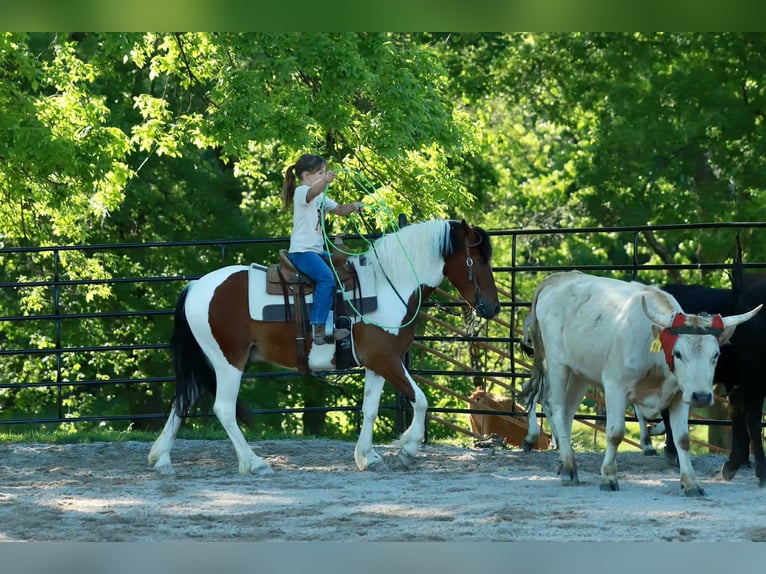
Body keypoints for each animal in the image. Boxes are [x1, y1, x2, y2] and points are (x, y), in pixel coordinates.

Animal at [148, 218, 501, 475]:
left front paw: (368, 457)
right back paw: (255, 464)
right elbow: (422, 401)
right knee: (223, 408)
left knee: (183, 400)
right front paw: (407, 449)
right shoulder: (387, 360)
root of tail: (196, 286)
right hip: (228, 362)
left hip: (212, 360)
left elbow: (370, 409)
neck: (390, 284)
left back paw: (162, 459)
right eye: (480, 259)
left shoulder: (378, 363)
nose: (493, 308)